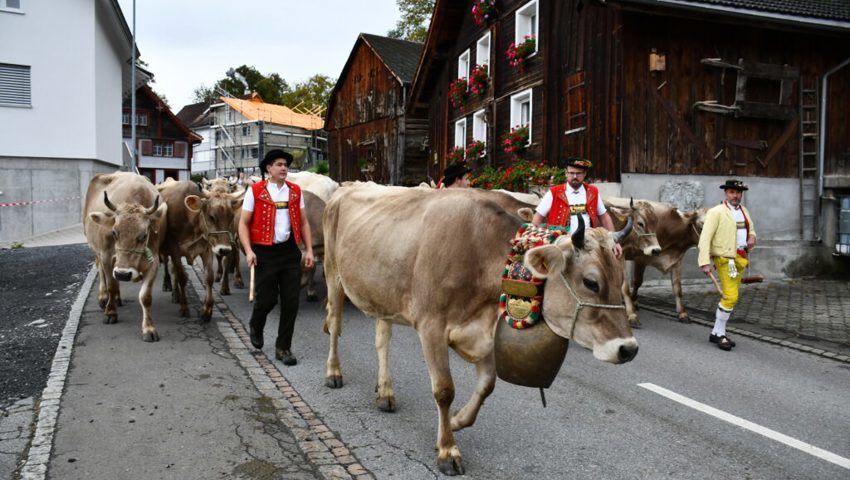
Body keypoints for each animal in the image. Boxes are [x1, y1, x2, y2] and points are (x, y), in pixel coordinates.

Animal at [83, 172, 167, 342]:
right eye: (114, 232)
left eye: (144, 235)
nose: (123, 274)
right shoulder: (107, 256)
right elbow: (111, 285)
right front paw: (110, 312)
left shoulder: (153, 261)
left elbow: (145, 296)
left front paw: (149, 328)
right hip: (96, 251)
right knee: (101, 271)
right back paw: (104, 298)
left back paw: (116, 298)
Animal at [157, 180, 242, 318]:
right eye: (211, 216)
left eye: (231, 217)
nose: (224, 250)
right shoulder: (175, 251)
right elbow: (182, 277)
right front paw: (184, 308)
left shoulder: (207, 249)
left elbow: (209, 277)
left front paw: (207, 310)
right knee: (167, 266)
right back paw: (169, 287)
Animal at [322, 185, 632, 476]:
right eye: (591, 282)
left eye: (621, 278)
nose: (628, 348)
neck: (480, 253)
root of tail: (346, 187)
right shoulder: (431, 326)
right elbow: (444, 390)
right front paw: (448, 451)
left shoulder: (484, 331)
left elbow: (486, 386)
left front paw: (456, 421)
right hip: (333, 275)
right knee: (335, 326)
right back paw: (334, 373)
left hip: (382, 294)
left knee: (382, 339)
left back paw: (385, 392)